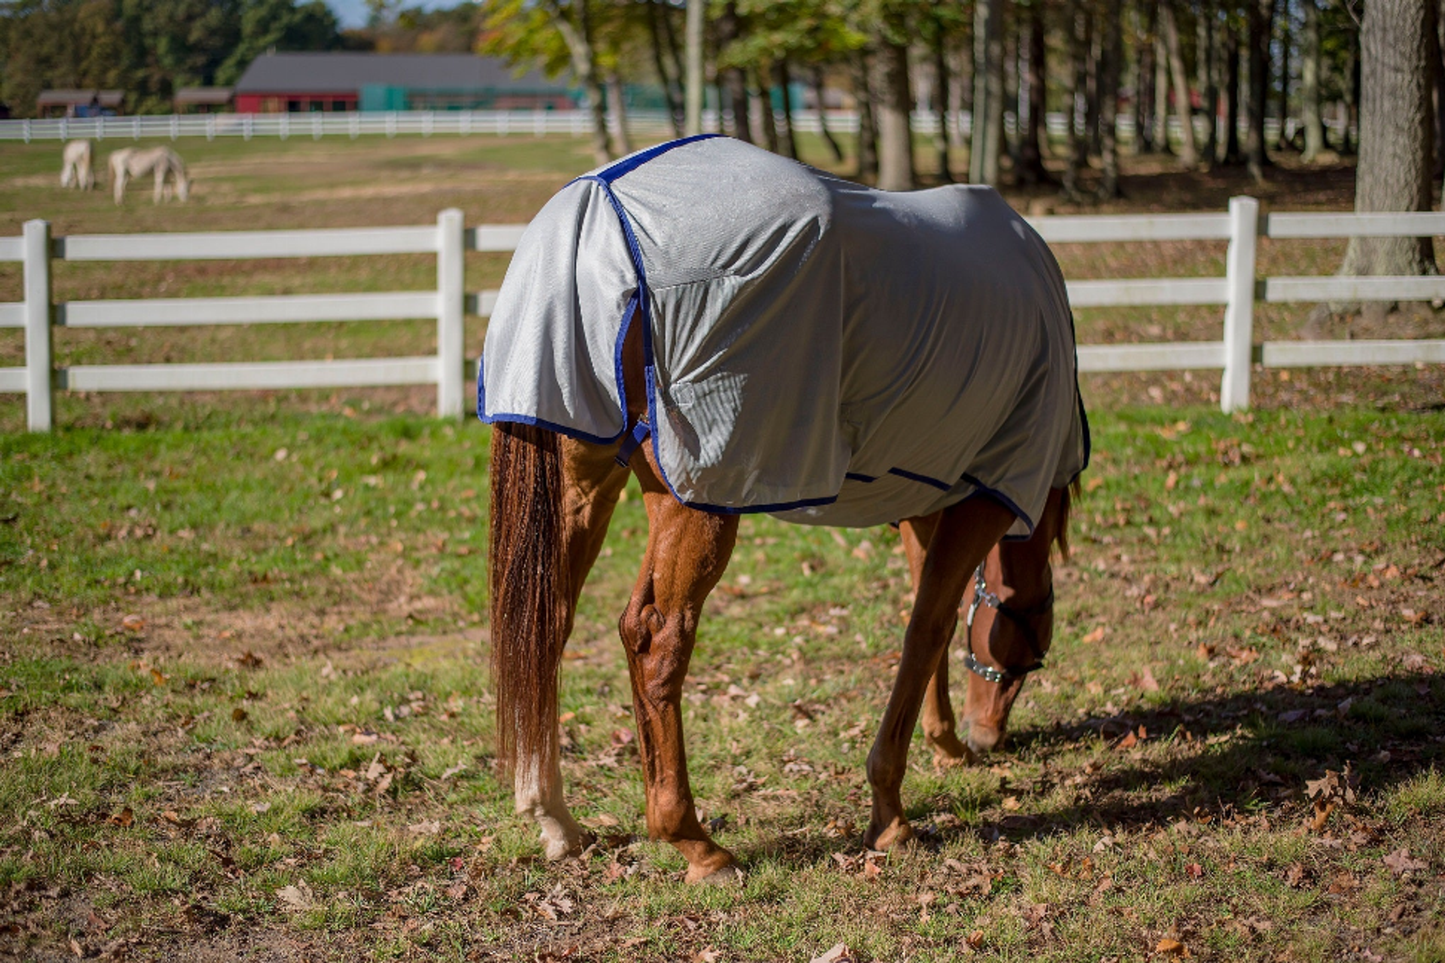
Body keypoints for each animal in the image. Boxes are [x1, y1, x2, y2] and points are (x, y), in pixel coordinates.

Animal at [485, 135, 1086, 879]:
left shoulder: (926, 497)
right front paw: (891, 812)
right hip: (700, 500)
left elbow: (933, 616)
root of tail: (599, 210)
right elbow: (925, 630)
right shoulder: (983, 498)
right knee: (656, 637)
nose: (988, 735)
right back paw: (693, 840)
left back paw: (554, 818)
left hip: (587, 485)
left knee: (548, 622)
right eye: (1035, 636)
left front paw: (942, 744)